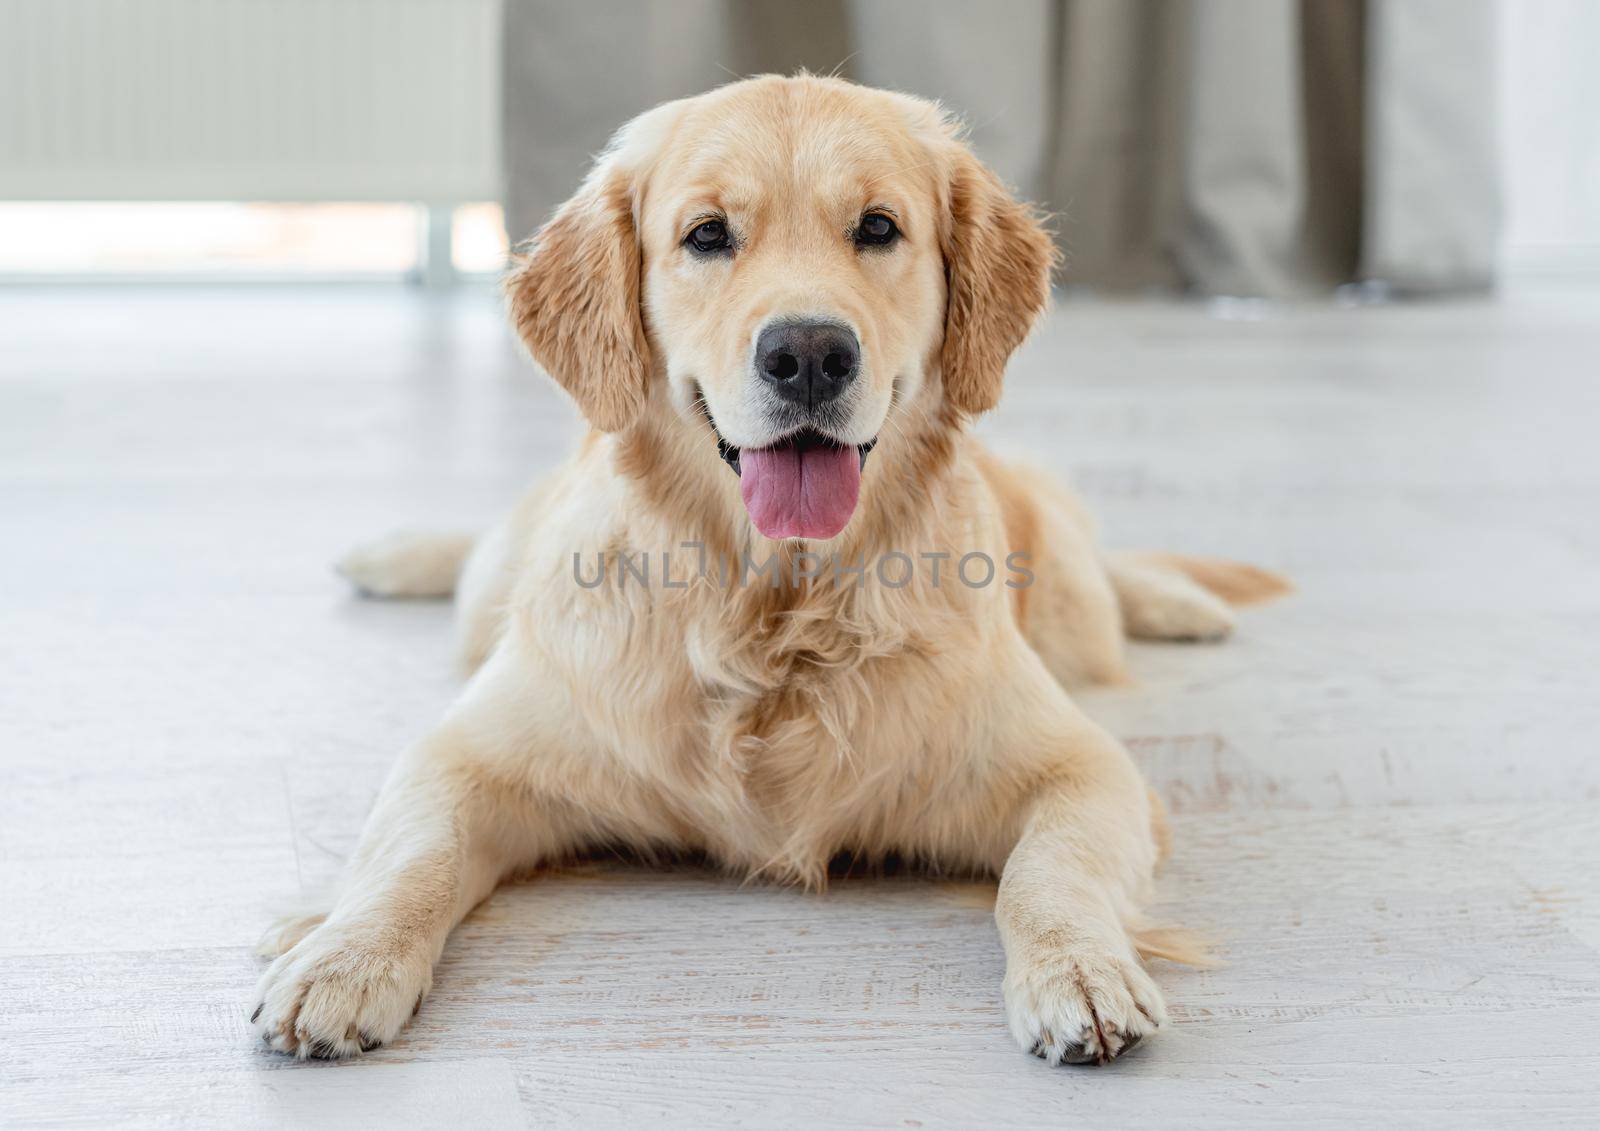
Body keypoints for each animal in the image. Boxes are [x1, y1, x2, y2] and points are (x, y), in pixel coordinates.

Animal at [259, 75, 1286, 1068]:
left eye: (878, 227)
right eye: (708, 235)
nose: (810, 354)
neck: (776, 608)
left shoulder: (1082, 767)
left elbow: (1047, 870)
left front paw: (1080, 970)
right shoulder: (469, 753)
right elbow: (412, 852)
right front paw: (339, 960)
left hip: (1067, 604)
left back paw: (1180, 599)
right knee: (477, 558)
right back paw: (391, 554)